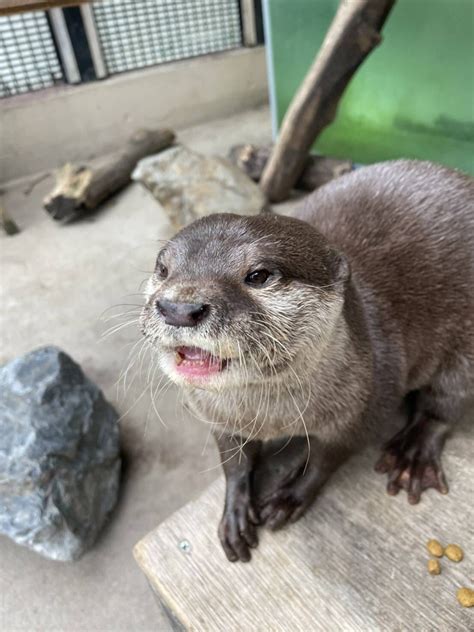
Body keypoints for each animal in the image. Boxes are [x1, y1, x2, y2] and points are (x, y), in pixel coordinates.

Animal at [140, 159, 474, 564]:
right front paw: (235, 511)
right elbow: (234, 461)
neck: (271, 417)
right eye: (163, 270)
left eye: (258, 275)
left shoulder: (366, 407)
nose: (179, 308)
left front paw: (290, 496)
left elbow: (328, 459)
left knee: (445, 404)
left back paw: (413, 453)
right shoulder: (217, 417)